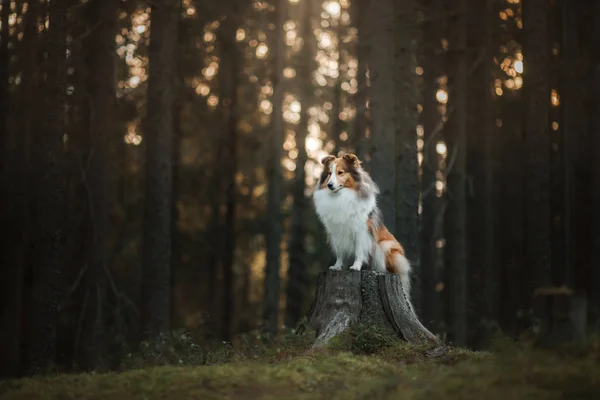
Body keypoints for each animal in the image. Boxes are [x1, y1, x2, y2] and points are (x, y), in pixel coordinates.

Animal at [310, 153, 412, 296]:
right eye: (329, 173)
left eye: (340, 172)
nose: (329, 185)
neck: (341, 196)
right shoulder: (337, 232)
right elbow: (340, 252)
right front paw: (337, 266)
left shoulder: (361, 231)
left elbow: (359, 250)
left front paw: (356, 266)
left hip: (386, 246)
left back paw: (376, 270)